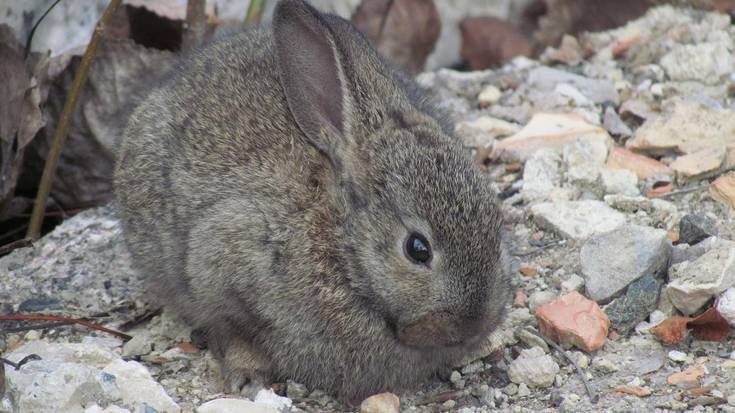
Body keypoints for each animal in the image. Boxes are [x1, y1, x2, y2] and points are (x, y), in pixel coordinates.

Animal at [115, 0, 512, 400]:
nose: (474, 325)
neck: (341, 242)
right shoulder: (220, 263)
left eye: (496, 226)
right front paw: (248, 375)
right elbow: (232, 328)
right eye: (417, 249)